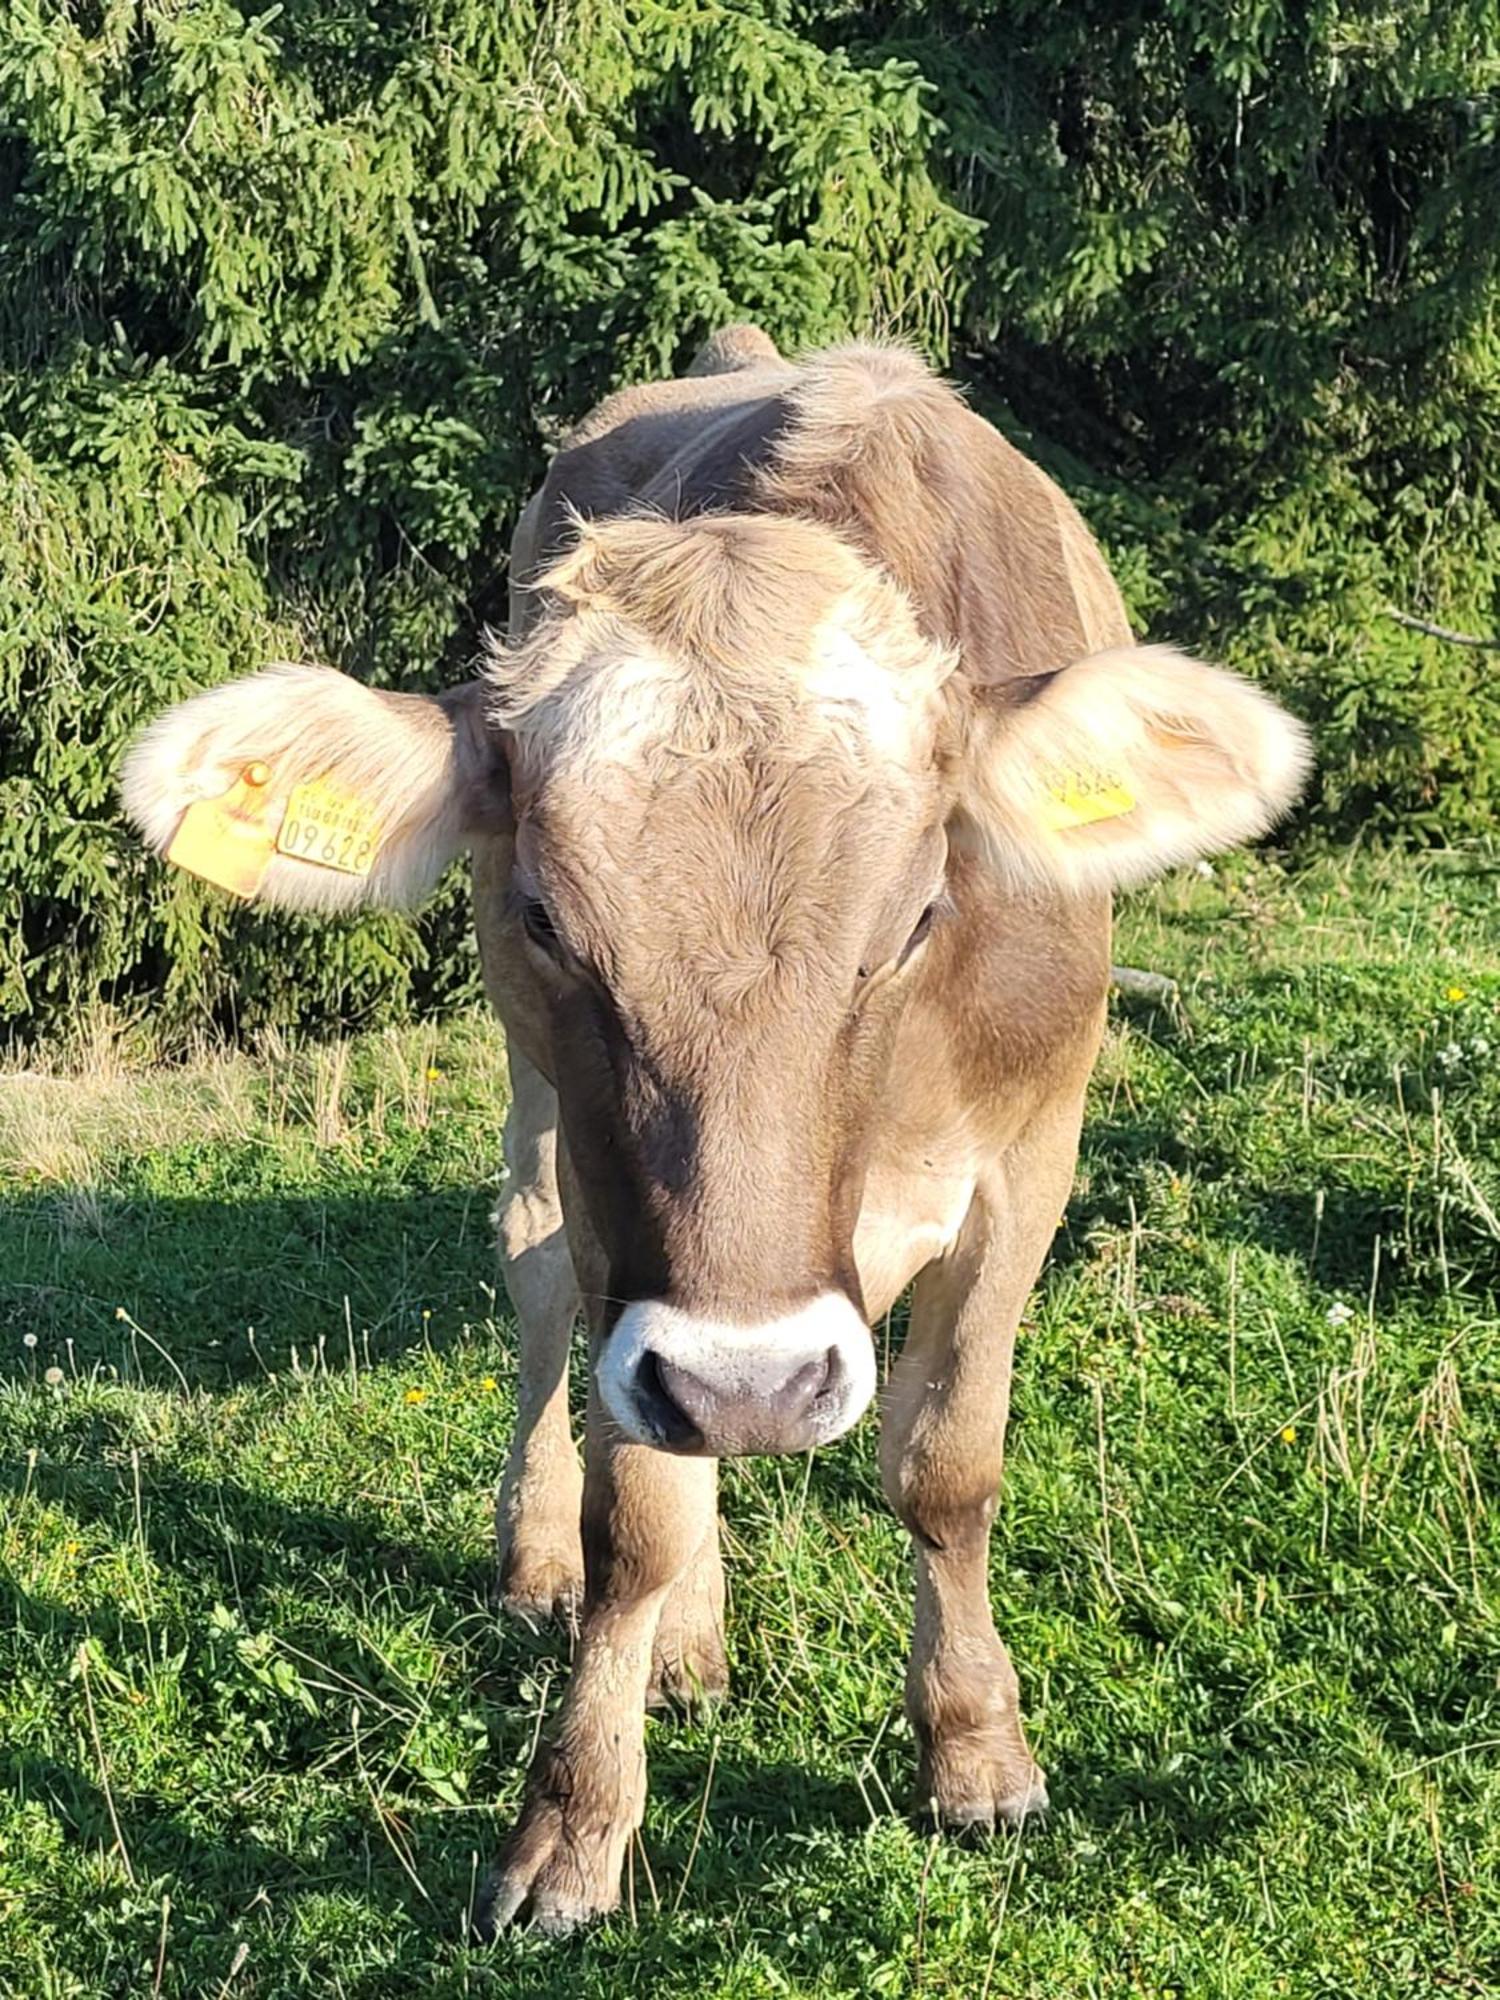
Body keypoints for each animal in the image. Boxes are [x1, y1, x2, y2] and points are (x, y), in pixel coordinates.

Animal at [123, 332, 1312, 1936]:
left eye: (918, 917)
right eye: (549, 917)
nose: (749, 1380)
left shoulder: (1031, 1156)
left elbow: (948, 1465)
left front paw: (977, 1753)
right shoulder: (624, 1214)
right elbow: (635, 1515)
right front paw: (569, 1827)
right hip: (546, 1121)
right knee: (540, 1283)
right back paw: (566, 1572)